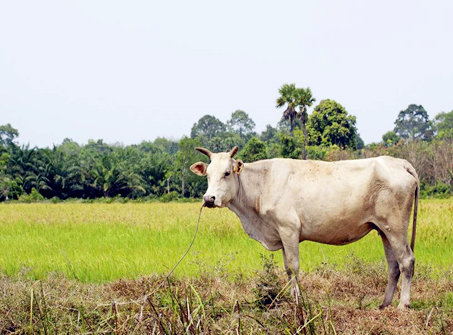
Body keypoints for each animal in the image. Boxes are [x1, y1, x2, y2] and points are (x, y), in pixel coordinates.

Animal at [189, 147, 418, 310]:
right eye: (208, 175)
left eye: (227, 173)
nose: (209, 198)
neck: (261, 184)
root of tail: (399, 162)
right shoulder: (280, 234)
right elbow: (287, 269)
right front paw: (292, 298)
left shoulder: (289, 229)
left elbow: (294, 266)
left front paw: (298, 301)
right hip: (383, 230)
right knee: (393, 265)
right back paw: (384, 303)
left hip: (396, 227)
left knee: (406, 261)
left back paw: (402, 304)